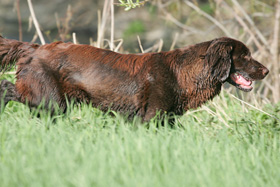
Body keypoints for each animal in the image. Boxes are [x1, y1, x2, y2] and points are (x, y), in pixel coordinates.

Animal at [0, 36, 268, 121]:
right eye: (245, 55)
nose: (266, 71)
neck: (183, 72)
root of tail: (34, 48)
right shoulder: (152, 116)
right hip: (51, 100)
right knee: (7, 88)